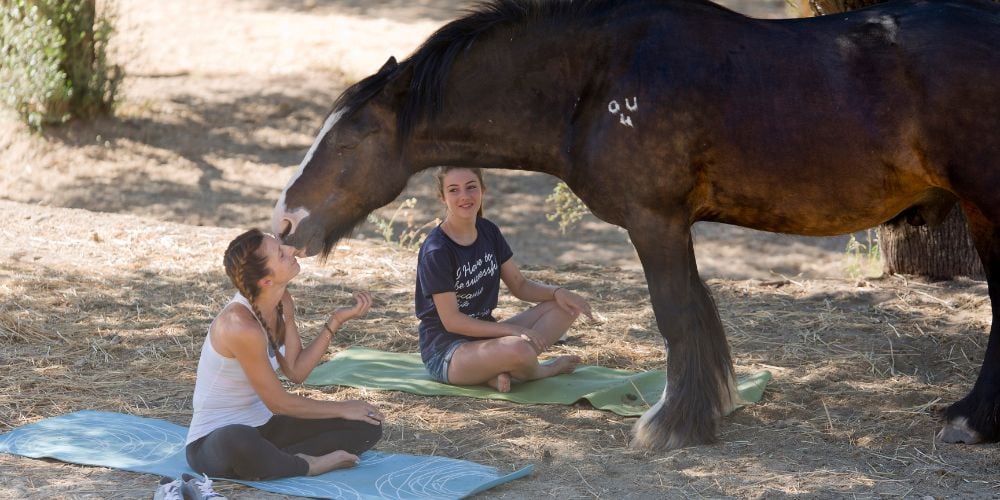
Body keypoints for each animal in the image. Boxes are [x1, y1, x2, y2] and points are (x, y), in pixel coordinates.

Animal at [270, 0, 1000, 452]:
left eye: (350, 141)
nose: (285, 223)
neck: (599, 80)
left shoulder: (654, 223)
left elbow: (676, 316)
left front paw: (671, 425)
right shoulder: (673, 226)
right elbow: (699, 316)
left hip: (987, 207)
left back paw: (971, 419)